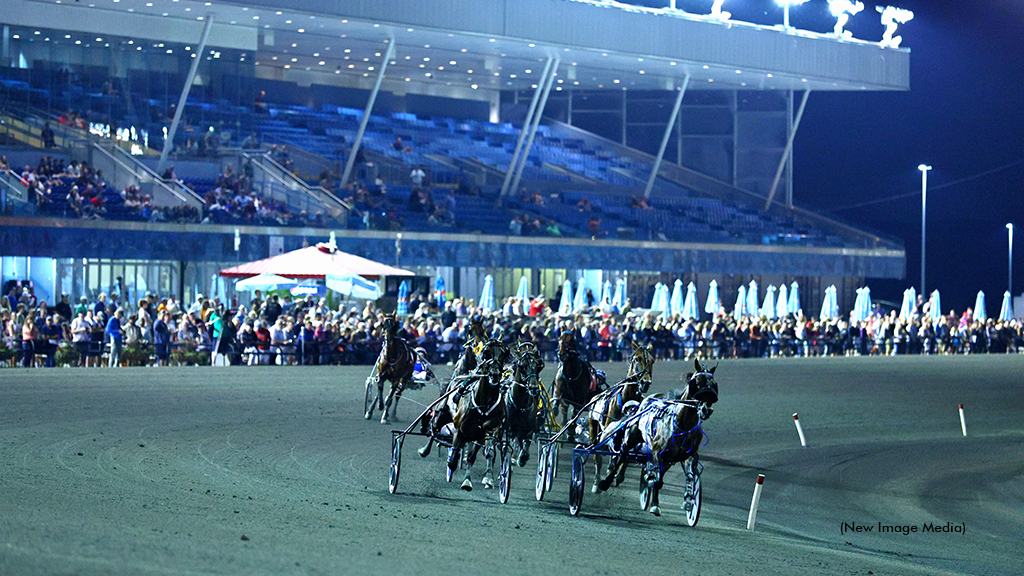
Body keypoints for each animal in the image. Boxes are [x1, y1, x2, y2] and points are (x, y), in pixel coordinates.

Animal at [589, 338, 651, 491]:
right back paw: (596, 481)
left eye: (652, 361)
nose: (645, 382)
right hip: (593, 427)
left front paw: (617, 476)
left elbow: (626, 454)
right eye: (637, 359)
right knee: (596, 455)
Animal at [593, 358, 720, 516]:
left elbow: (690, 477)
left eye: (714, 384)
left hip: (668, 459)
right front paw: (654, 502)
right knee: (623, 454)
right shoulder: (657, 452)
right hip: (632, 438)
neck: (682, 424)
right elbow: (658, 481)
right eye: (697, 382)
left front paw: (688, 501)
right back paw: (607, 481)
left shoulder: (689, 455)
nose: (706, 409)